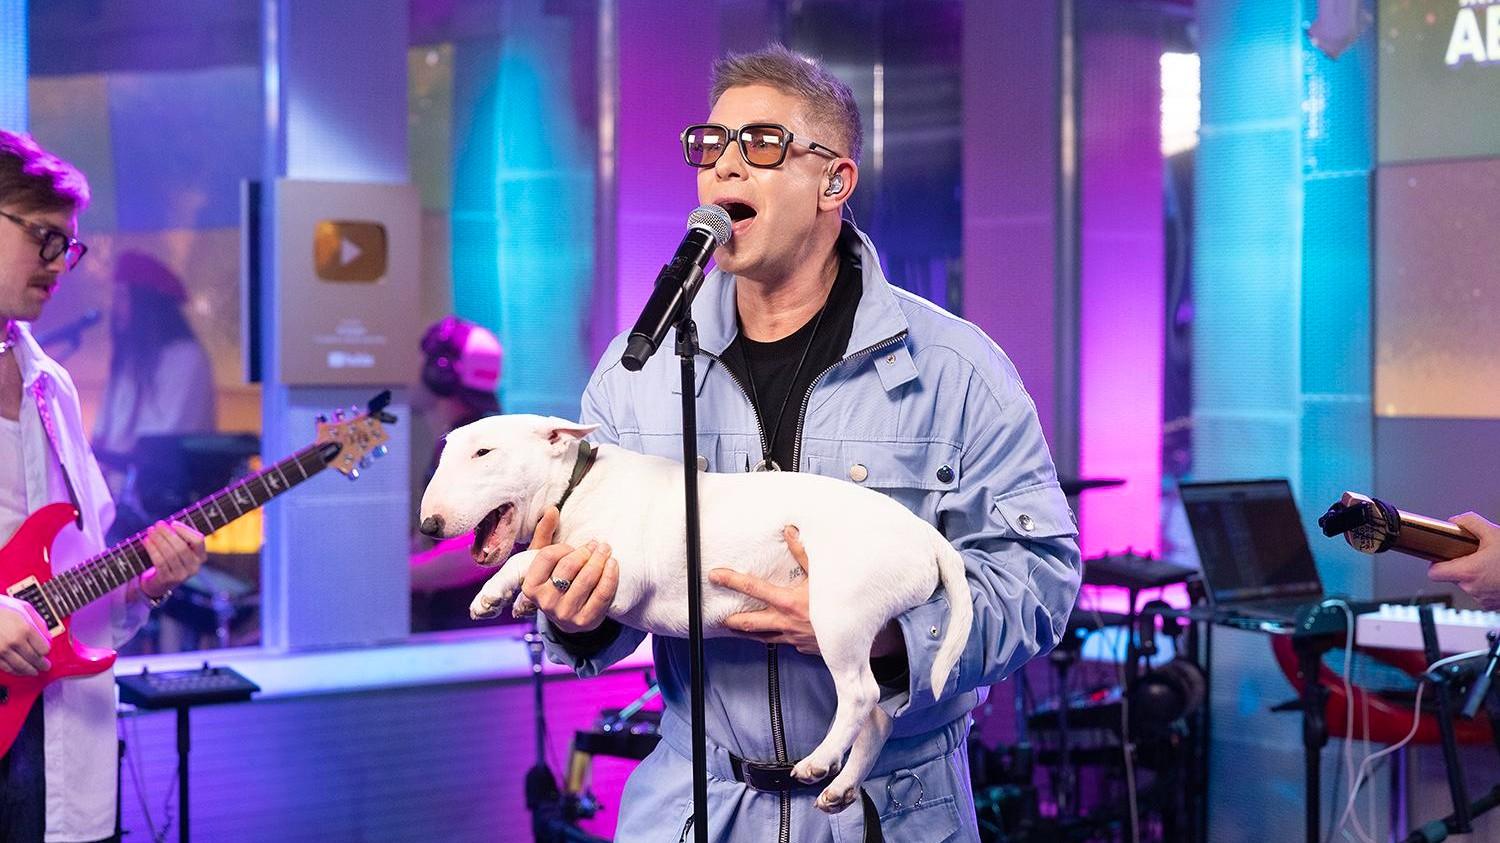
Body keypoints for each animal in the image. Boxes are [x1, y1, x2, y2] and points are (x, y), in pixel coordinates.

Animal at [417, 414, 972, 813]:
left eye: (485, 453)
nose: (428, 525)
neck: (577, 485)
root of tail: (930, 539)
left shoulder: (621, 571)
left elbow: (533, 556)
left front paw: (493, 591)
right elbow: (540, 559)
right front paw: (520, 598)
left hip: (836, 613)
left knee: (861, 693)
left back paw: (818, 763)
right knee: (877, 714)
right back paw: (840, 787)